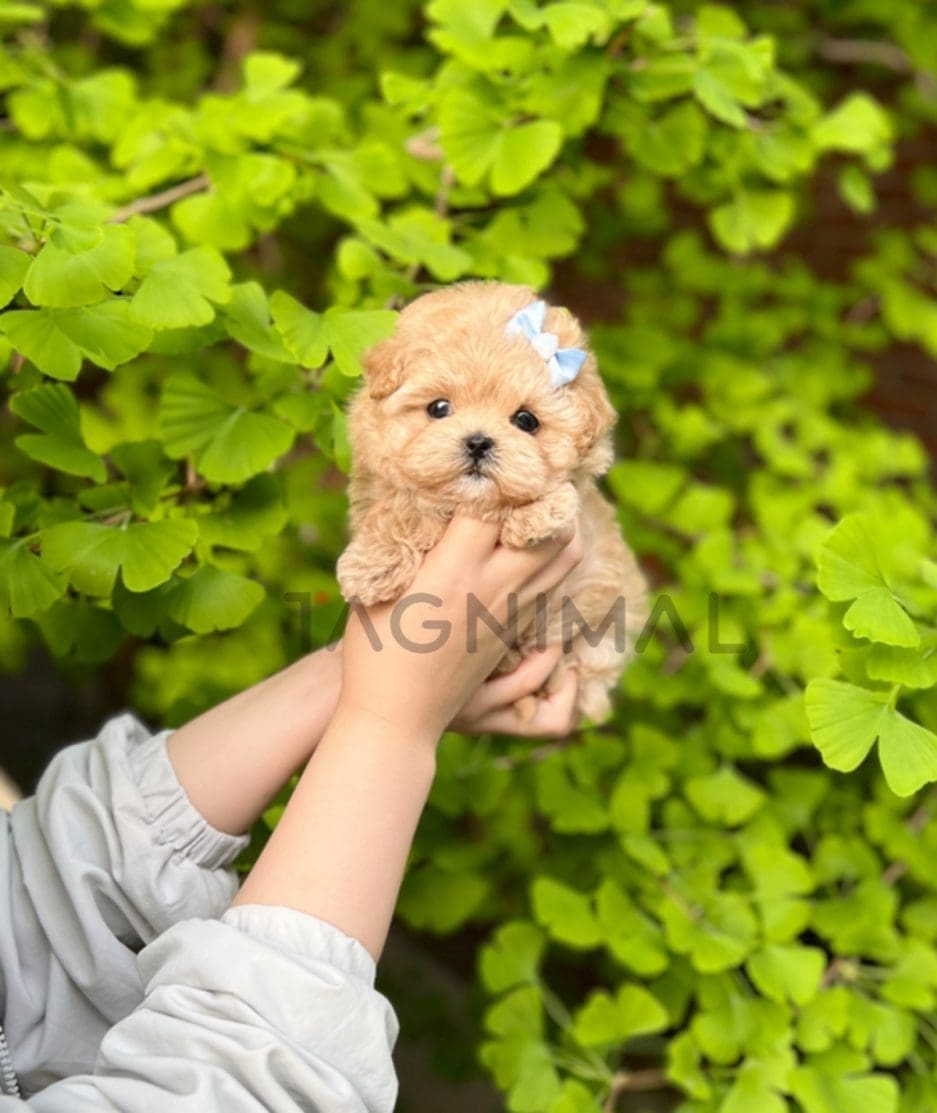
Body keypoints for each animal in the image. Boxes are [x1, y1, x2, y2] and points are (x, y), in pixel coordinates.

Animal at [331, 280, 645, 721]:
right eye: (439, 408)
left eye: (526, 420)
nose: (479, 442)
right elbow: (400, 505)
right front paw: (372, 565)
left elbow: (548, 488)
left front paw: (535, 516)